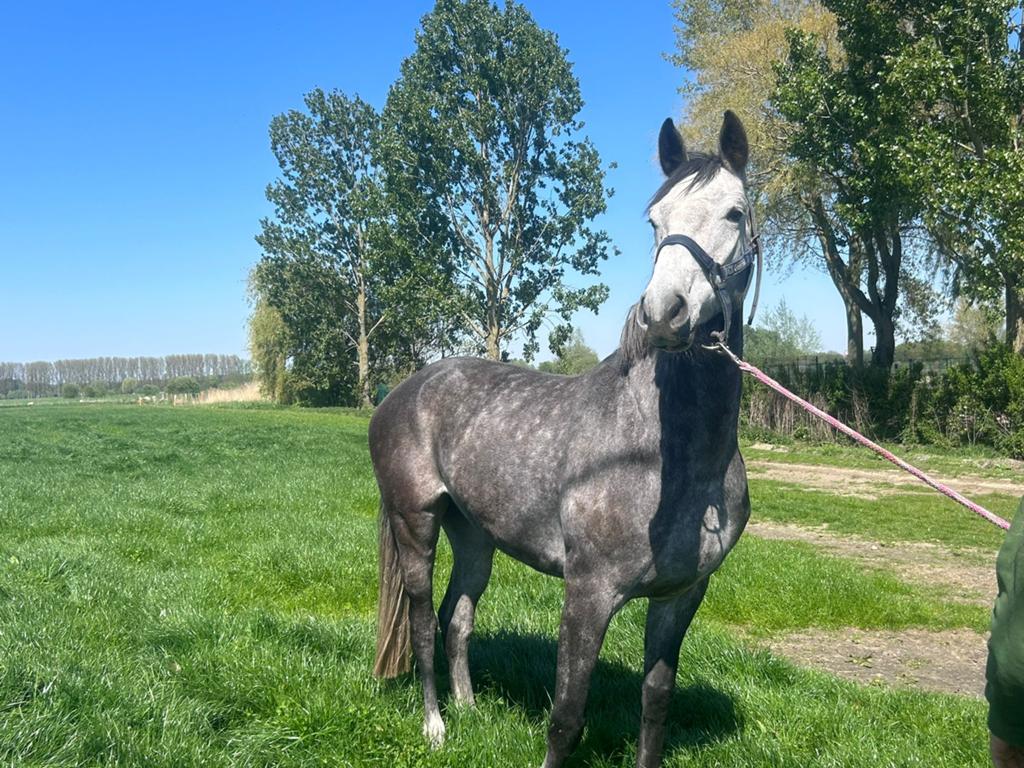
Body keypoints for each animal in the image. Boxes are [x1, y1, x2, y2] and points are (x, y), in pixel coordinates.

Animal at [369, 110, 758, 768]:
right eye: (655, 220)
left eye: (734, 212)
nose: (665, 313)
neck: (669, 454)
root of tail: (403, 391)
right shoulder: (588, 593)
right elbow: (567, 716)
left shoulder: (681, 596)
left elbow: (656, 703)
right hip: (415, 524)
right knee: (423, 622)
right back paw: (436, 726)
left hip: (475, 536)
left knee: (457, 618)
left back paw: (470, 711)